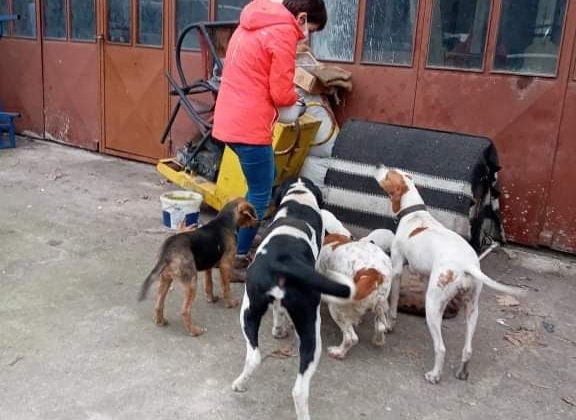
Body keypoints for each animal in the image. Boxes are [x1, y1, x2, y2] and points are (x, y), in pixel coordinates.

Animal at [137, 199, 256, 336]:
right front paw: (230, 303)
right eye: (252, 212)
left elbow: (209, 285)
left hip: (165, 279)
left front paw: (211, 298)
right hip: (191, 283)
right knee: (185, 311)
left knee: (158, 304)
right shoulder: (225, 266)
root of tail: (167, 251)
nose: (258, 222)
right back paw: (194, 331)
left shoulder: (208, 266)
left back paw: (160, 321)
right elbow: (226, 288)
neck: (225, 222)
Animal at [372, 165, 524, 384]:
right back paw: (462, 372)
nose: (378, 164)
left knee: (441, 348)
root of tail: (467, 265)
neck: (415, 213)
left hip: (434, 303)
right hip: (472, 309)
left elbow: (393, 302)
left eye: (389, 174)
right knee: (467, 349)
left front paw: (391, 323)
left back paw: (434, 375)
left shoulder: (398, 267)